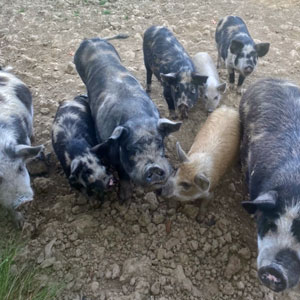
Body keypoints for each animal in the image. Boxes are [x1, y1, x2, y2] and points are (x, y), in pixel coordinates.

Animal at [74, 37, 182, 202]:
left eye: (159, 142)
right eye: (131, 148)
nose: (154, 168)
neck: (136, 116)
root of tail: (90, 39)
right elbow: (123, 174)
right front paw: (124, 199)